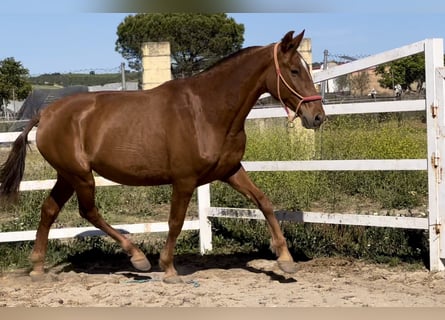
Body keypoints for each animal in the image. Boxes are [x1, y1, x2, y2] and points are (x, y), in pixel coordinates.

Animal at [0, 28, 322, 282]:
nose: (317, 116)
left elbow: (264, 202)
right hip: (80, 176)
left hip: (67, 176)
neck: (206, 111)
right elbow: (175, 222)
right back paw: (138, 258)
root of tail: (45, 113)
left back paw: (38, 269)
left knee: (49, 210)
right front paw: (168, 269)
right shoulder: (184, 180)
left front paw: (285, 260)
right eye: (295, 71)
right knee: (88, 211)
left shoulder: (231, 171)